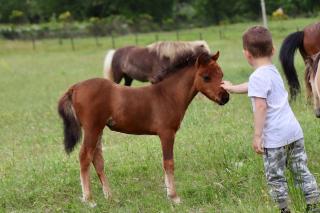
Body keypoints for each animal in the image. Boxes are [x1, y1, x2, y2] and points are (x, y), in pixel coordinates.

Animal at [58, 50, 229, 206]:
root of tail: (75, 88)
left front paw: (169, 194)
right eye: (206, 77)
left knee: (97, 158)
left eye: (221, 74)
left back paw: (110, 197)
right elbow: (168, 163)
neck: (167, 95)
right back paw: (89, 199)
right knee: (85, 156)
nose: (225, 97)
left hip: (98, 129)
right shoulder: (167, 133)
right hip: (92, 128)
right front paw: (174, 197)